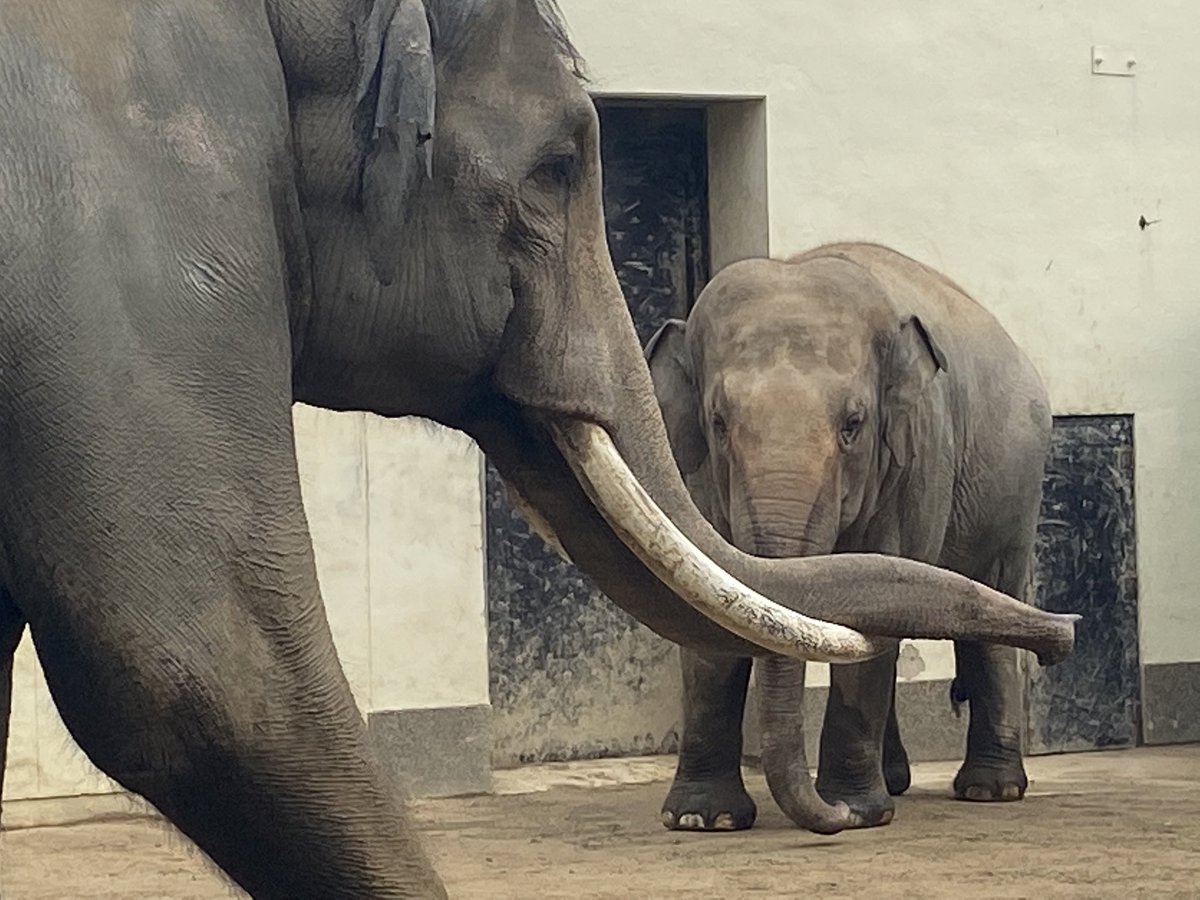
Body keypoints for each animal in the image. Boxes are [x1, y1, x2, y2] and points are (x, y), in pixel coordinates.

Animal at [652, 243, 1056, 835]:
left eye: (853, 424)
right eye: (719, 422)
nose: (833, 816)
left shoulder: (917, 456)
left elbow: (876, 609)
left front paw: (860, 814)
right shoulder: (693, 468)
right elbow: (706, 599)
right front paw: (703, 819)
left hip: (1016, 488)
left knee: (993, 610)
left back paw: (990, 789)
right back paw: (897, 781)